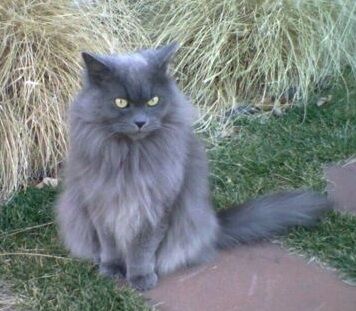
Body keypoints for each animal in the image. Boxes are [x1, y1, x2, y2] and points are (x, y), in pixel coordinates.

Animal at [55, 44, 330, 292]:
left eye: (153, 101)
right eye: (121, 102)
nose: (141, 122)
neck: (131, 156)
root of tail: (213, 224)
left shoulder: (156, 208)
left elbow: (142, 250)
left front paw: (141, 277)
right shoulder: (100, 203)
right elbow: (110, 244)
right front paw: (111, 269)